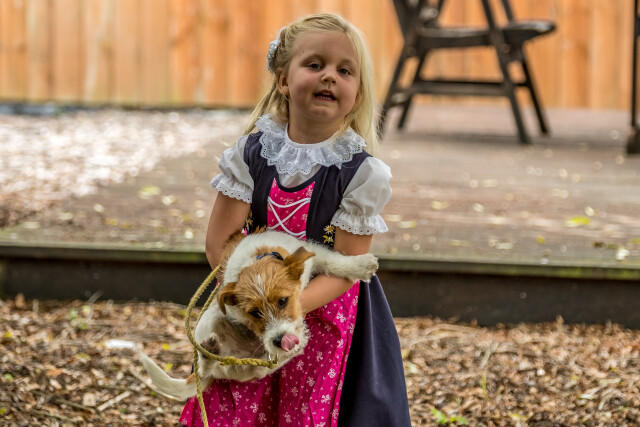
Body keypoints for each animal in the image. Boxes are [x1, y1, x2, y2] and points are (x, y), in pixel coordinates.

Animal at [140, 229, 378, 401]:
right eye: (254, 313)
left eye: (283, 301)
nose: (280, 340)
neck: (256, 260)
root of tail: (235, 360)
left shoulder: (309, 252)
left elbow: (332, 261)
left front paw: (360, 265)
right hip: (207, 323)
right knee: (207, 365)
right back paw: (210, 352)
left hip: (254, 365)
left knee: (260, 368)